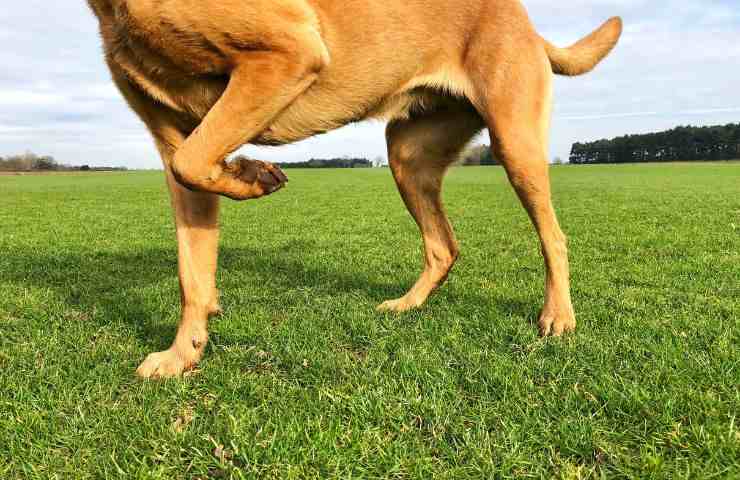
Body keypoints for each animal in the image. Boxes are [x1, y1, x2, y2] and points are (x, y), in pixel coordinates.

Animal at [85, 0, 620, 376]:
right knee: (443, 246)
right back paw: (406, 305)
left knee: (553, 237)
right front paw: (183, 353)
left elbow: (192, 164)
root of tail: (530, 26)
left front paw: (252, 175)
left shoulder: (288, 52)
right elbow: (191, 266)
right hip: (408, 157)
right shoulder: (172, 136)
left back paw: (557, 315)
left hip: (515, 141)